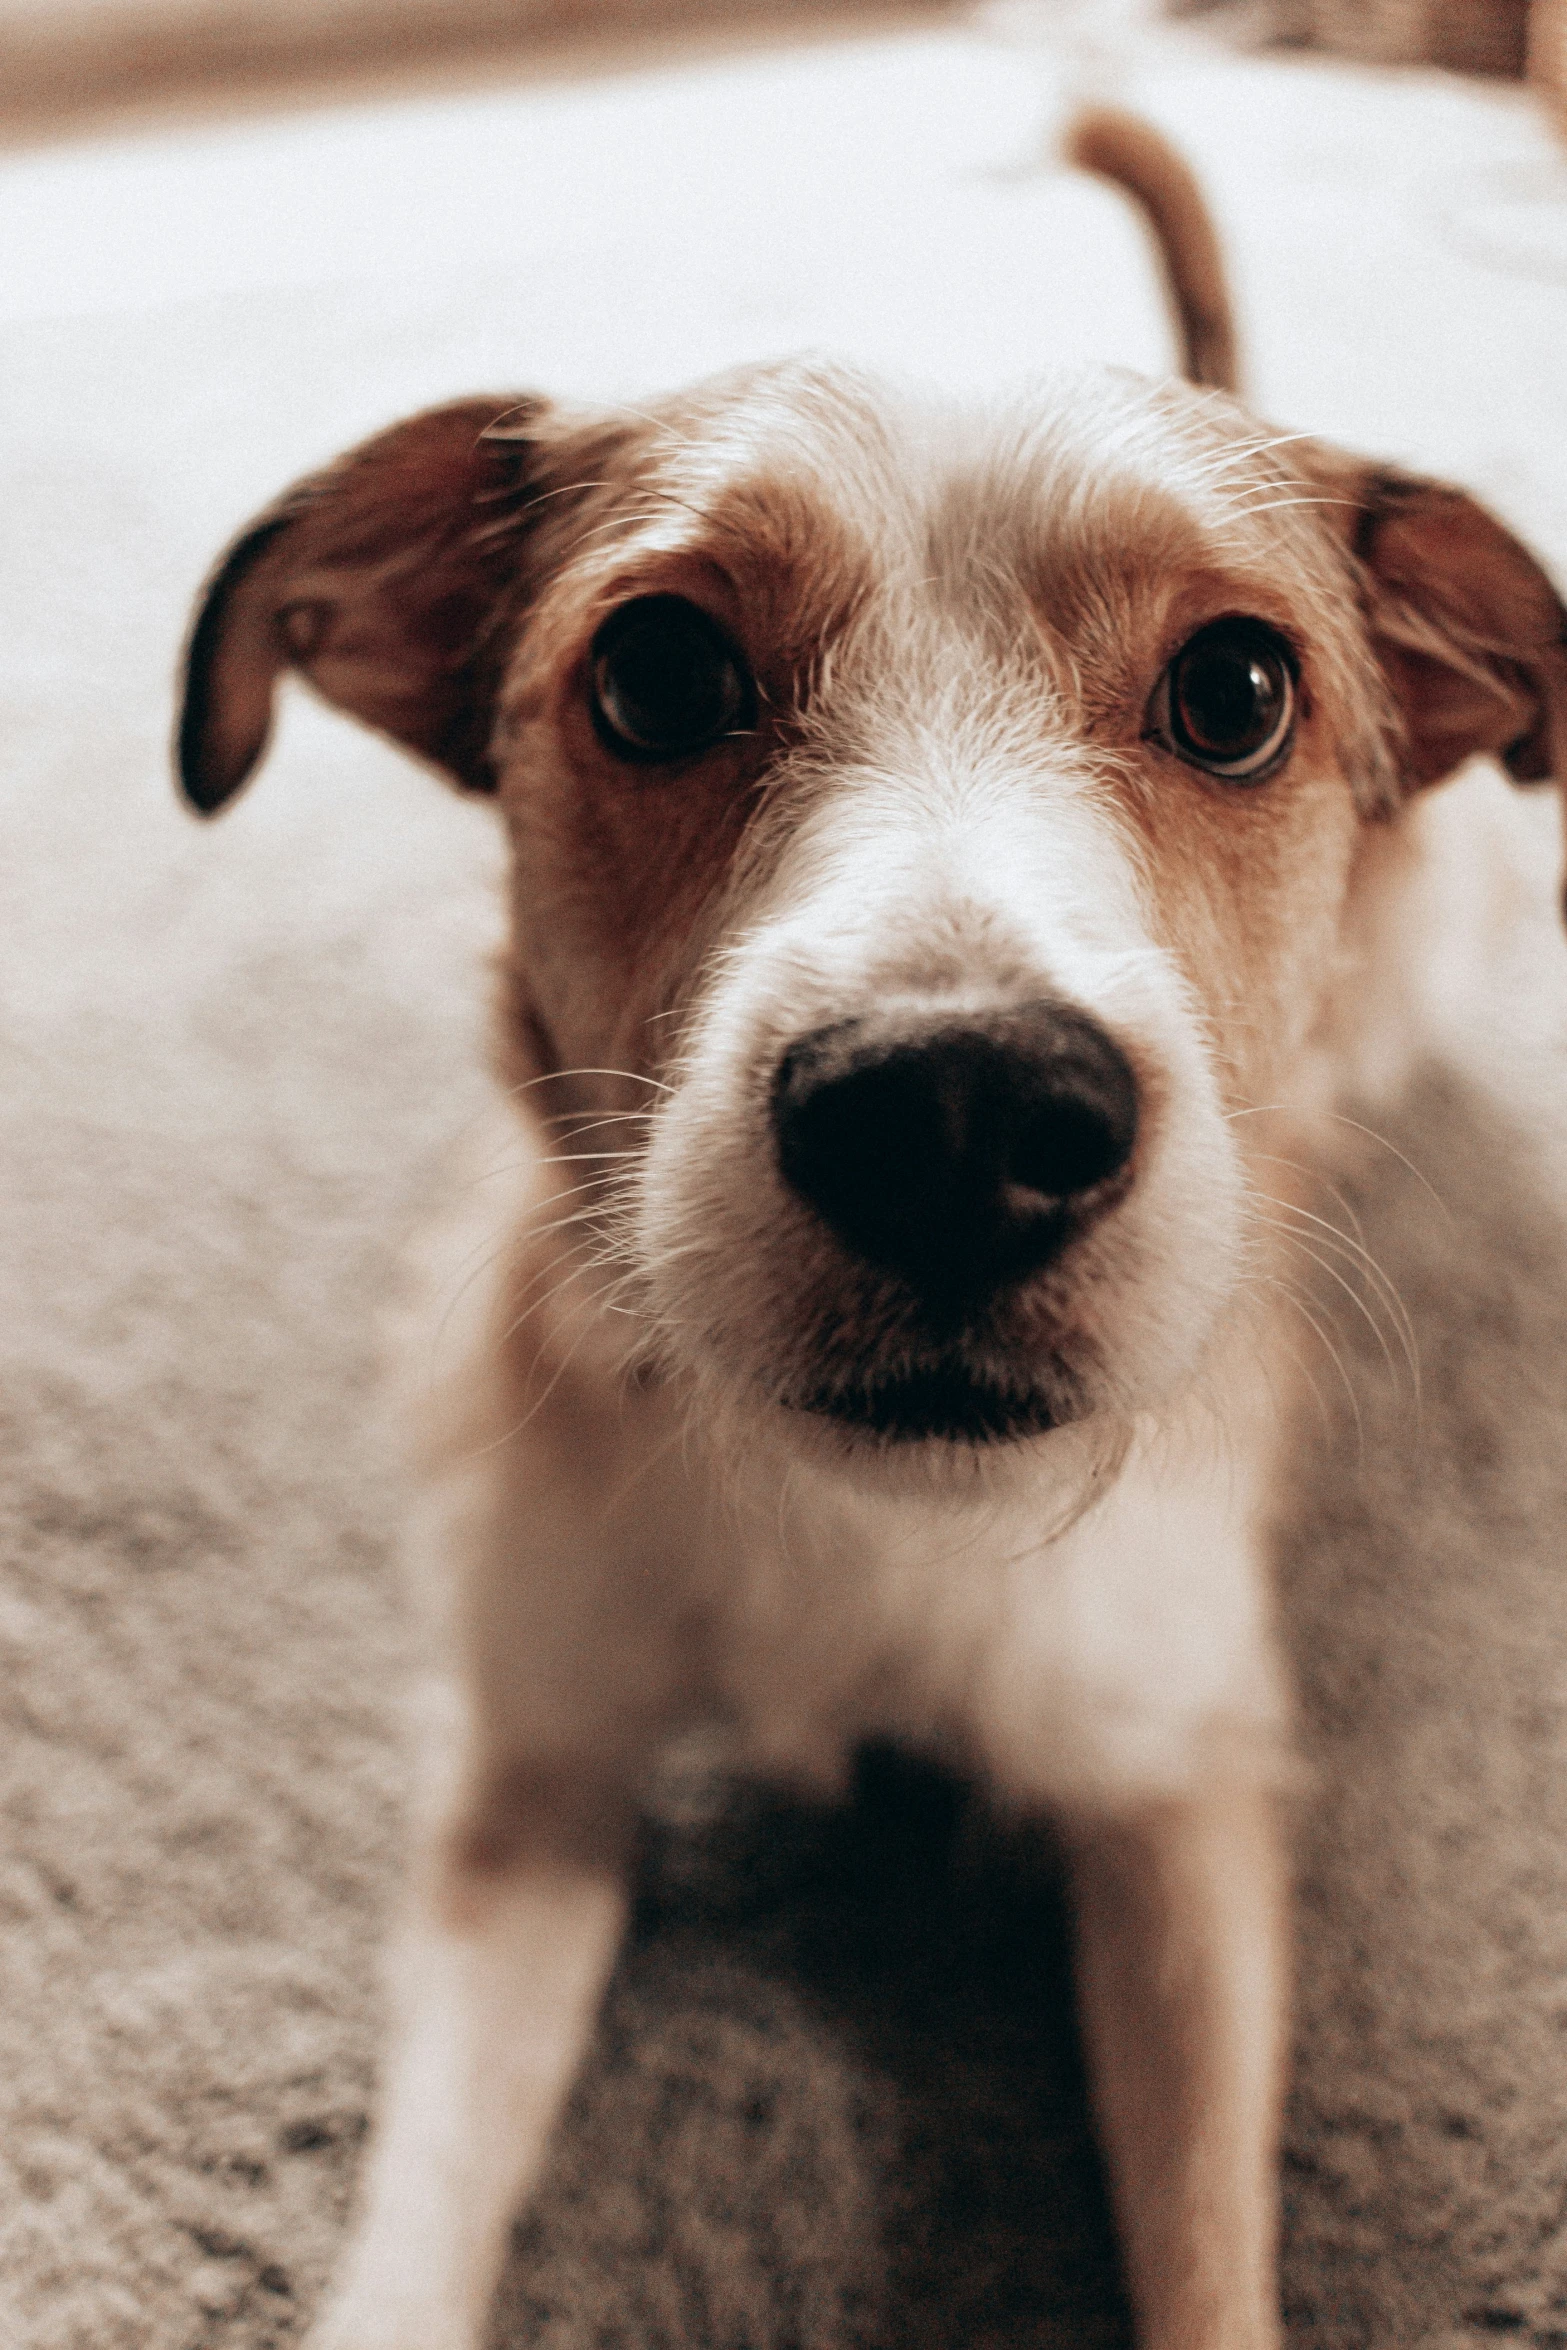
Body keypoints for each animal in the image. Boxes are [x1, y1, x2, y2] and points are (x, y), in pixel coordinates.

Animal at [175, 105, 1567, 2350]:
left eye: (1237, 687)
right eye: (657, 670)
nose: (956, 1118)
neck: (861, 1527)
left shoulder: (1180, 1799)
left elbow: (1206, 2251)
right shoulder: (528, 1789)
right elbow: (409, 2226)